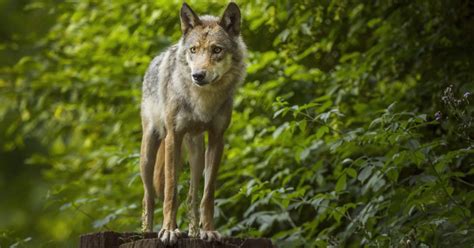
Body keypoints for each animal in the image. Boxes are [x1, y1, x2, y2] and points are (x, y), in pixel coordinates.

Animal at [139, 1, 246, 245]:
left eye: (217, 50)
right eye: (193, 50)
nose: (198, 75)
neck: (203, 101)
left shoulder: (217, 139)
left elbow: (207, 195)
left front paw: (208, 231)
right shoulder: (173, 137)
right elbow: (170, 192)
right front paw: (168, 231)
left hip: (196, 155)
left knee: (191, 195)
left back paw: (194, 232)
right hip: (150, 153)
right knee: (149, 196)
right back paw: (148, 231)